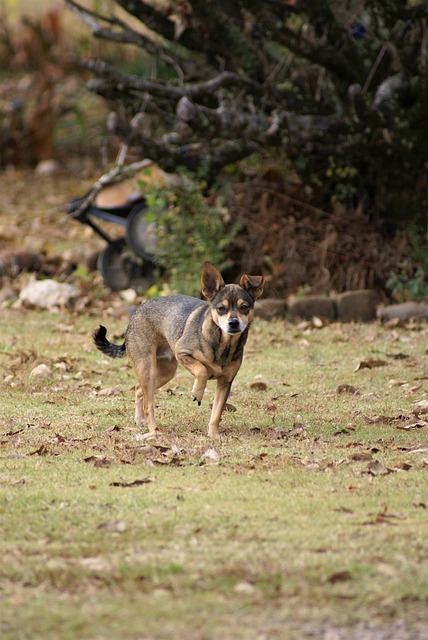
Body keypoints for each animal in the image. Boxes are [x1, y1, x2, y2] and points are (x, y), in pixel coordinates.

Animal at [93, 262, 264, 438]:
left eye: (244, 307)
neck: (223, 343)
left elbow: (216, 413)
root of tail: (134, 314)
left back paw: (140, 420)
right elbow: (202, 370)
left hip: (164, 374)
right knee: (148, 405)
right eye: (221, 308)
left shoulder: (225, 383)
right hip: (147, 369)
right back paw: (154, 431)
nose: (233, 323)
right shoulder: (182, 352)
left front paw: (213, 434)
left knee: (139, 390)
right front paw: (197, 392)